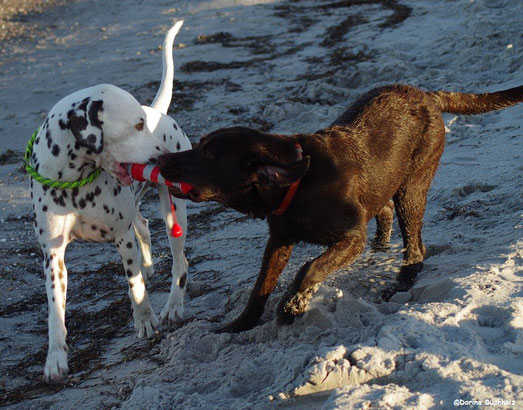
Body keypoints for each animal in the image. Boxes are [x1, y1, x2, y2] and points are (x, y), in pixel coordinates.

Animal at [27, 21, 191, 382]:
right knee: (143, 225)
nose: (167, 158)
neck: (74, 182)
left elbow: (134, 287)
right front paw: (55, 358)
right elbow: (54, 312)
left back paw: (173, 304)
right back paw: (150, 266)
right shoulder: (53, 256)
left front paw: (145, 321)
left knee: (180, 263)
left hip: (174, 215)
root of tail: (159, 110)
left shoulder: (121, 236)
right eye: (137, 125)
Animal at [158, 85, 520, 332]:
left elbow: (310, 269)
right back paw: (380, 251)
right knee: (384, 212)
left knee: (415, 246)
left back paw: (402, 281)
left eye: (208, 153)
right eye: (199, 144)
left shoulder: (350, 238)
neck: (298, 181)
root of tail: (427, 94)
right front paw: (239, 325)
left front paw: (293, 305)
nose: (161, 159)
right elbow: (260, 287)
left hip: (413, 186)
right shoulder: (279, 240)